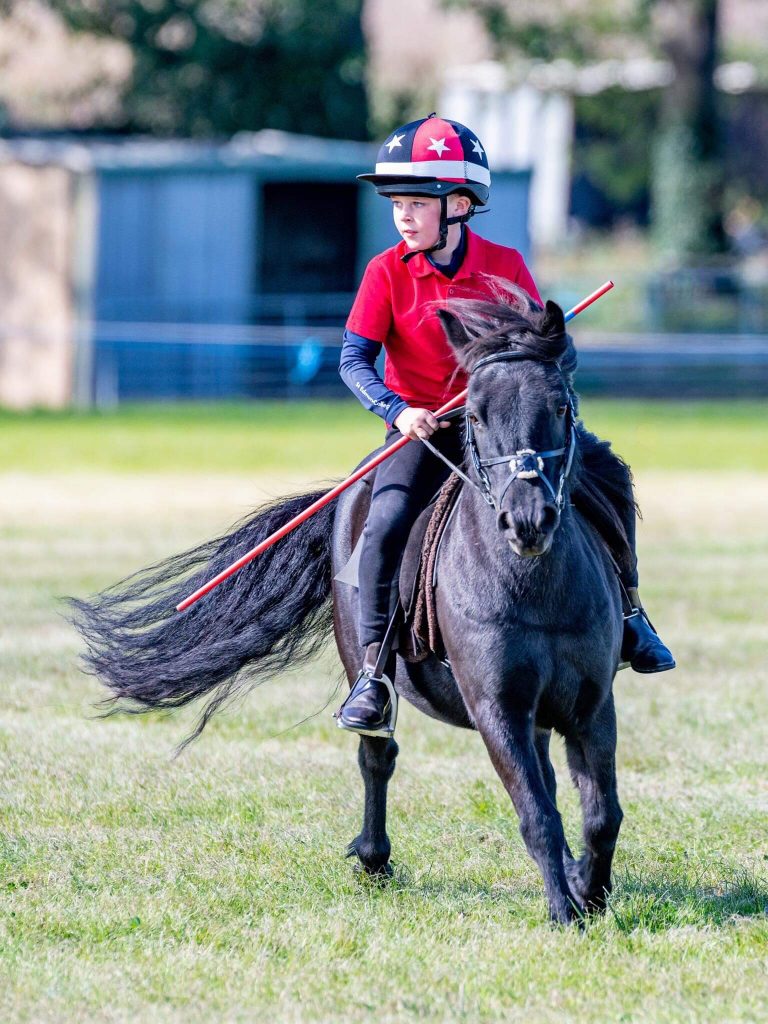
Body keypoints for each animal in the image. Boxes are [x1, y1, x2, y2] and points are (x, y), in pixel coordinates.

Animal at [73, 286, 638, 921]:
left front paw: (589, 891)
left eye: (562, 408)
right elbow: (537, 814)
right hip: (362, 656)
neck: (534, 589)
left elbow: (600, 815)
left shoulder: (591, 705)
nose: (527, 521)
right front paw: (565, 912)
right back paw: (374, 858)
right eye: (473, 415)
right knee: (377, 756)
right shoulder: (497, 707)